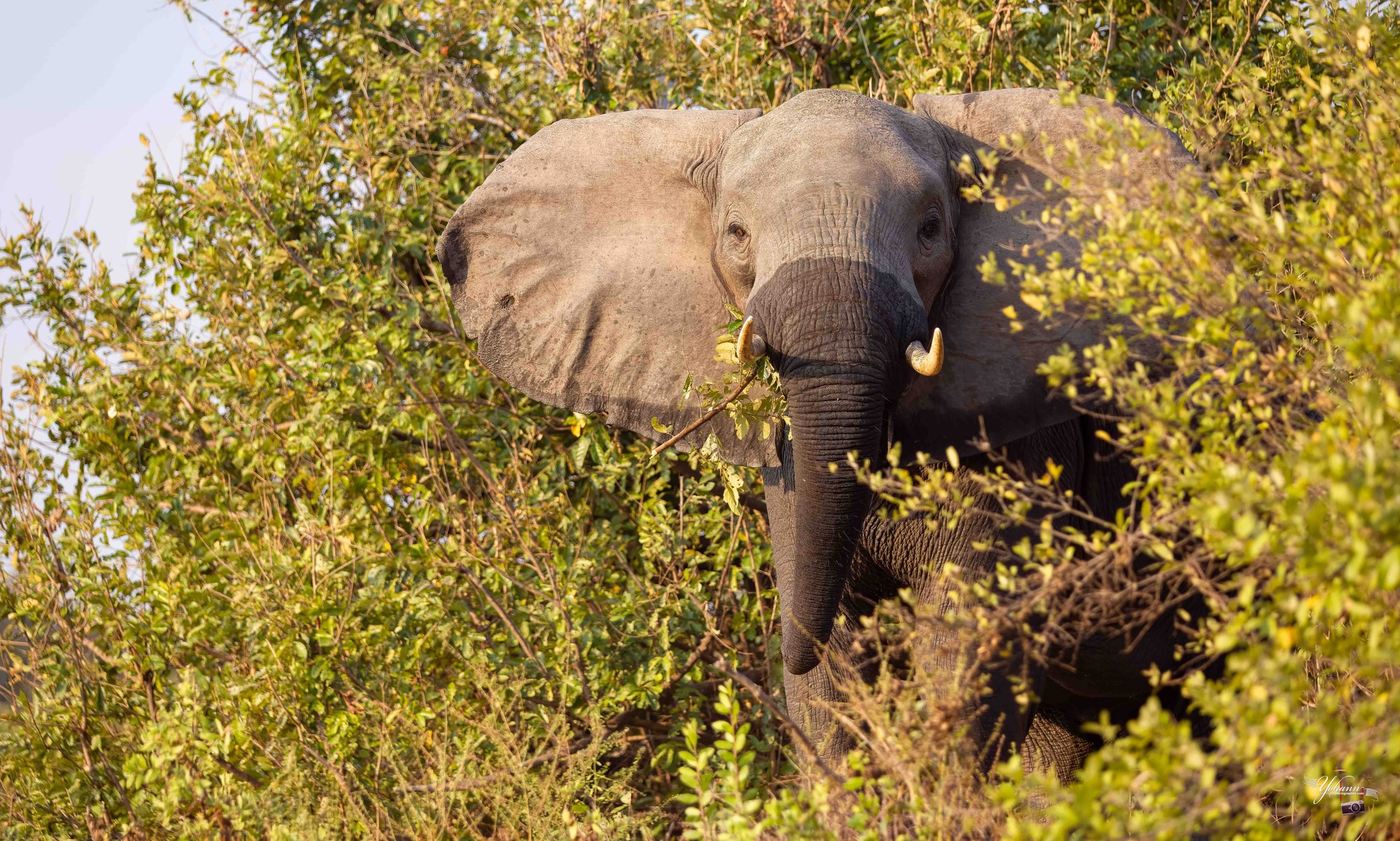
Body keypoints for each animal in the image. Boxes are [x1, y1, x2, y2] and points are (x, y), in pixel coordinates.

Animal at [436, 88, 1201, 780]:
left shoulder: (1025, 443)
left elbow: (968, 653)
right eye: (737, 235)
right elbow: (835, 677)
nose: (773, 657)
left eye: (930, 228)